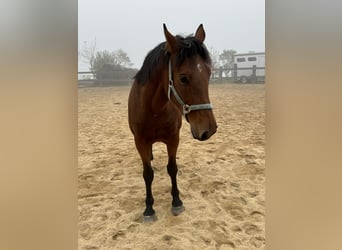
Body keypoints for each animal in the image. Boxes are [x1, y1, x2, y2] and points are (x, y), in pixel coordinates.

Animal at [128, 24, 216, 222]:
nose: (209, 130)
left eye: (209, 73)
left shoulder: (173, 139)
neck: (154, 110)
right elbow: (148, 174)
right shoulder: (140, 142)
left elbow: (172, 168)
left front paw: (176, 201)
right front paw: (149, 209)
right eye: (183, 78)